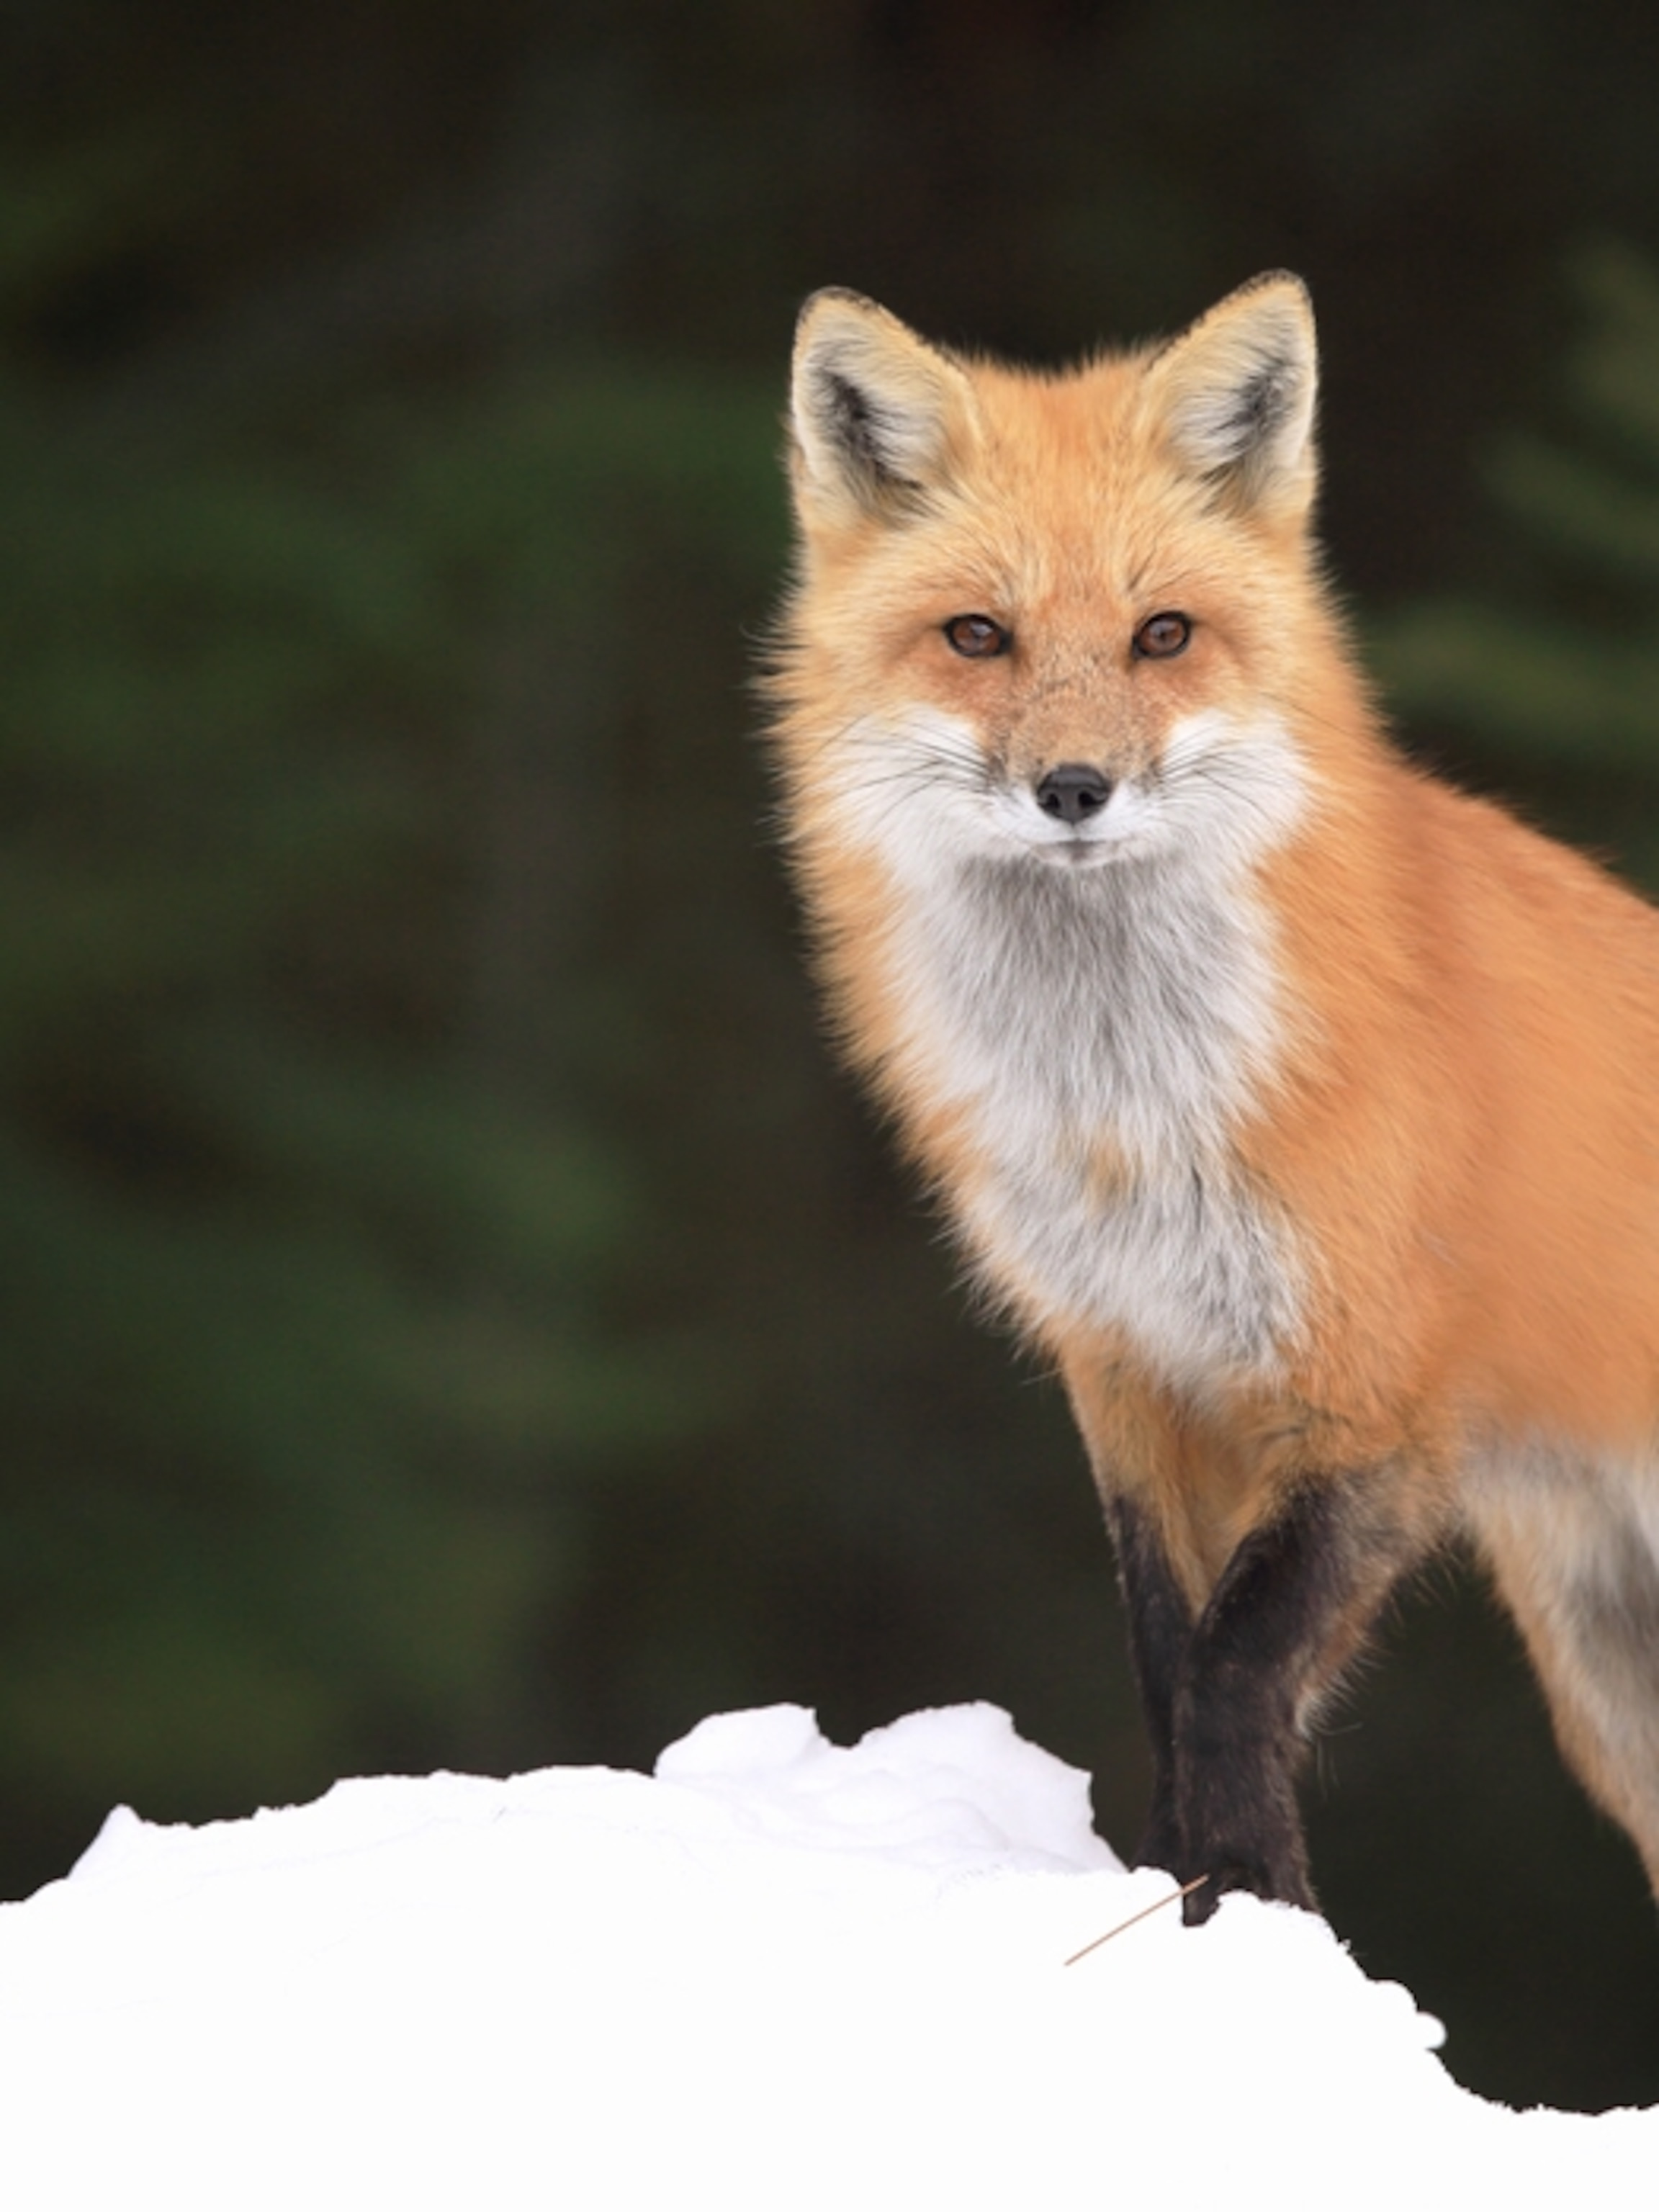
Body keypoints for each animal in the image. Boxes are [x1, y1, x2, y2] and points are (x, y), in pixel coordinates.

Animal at [766, 271, 1659, 1925]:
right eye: (976, 636)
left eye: (1161, 634)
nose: (1072, 789)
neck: (1134, 1116)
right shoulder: (1127, 1369)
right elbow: (1164, 1655)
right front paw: (1187, 1893)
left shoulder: (1369, 1401)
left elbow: (1236, 1671)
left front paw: (1250, 1898)